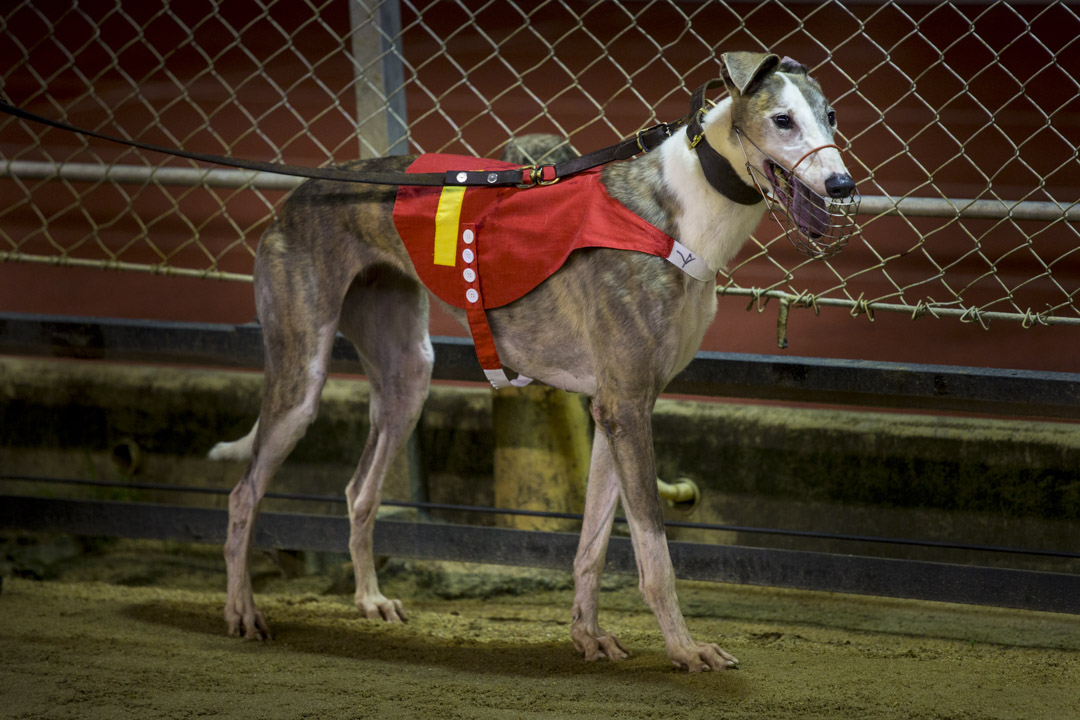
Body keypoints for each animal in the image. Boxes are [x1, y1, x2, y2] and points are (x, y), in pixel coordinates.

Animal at [208, 52, 851, 677]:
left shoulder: (613, 409)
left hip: (407, 375)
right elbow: (654, 553)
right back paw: (242, 612)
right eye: (782, 120)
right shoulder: (626, 407)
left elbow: (592, 544)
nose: (842, 184)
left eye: (831, 116)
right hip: (301, 376)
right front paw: (686, 651)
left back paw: (369, 599)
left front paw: (588, 637)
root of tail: (299, 194)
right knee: (243, 495)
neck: (680, 212)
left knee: (358, 490)